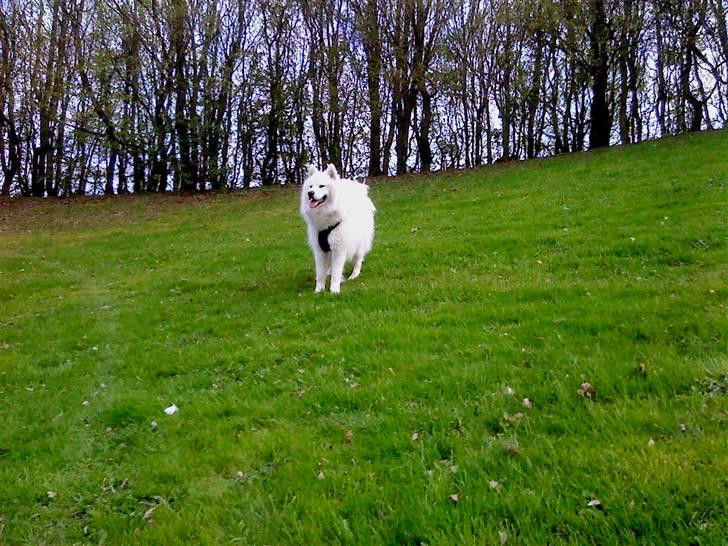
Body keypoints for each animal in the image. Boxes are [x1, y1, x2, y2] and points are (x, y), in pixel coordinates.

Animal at [300, 163, 376, 294]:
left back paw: (354, 275)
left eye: (321, 186)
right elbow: (320, 272)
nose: (310, 193)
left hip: (358, 245)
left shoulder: (339, 249)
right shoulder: (320, 250)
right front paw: (318, 290)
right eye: (311, 186)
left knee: (358, 260)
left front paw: (334, 290)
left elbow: (336, 271)